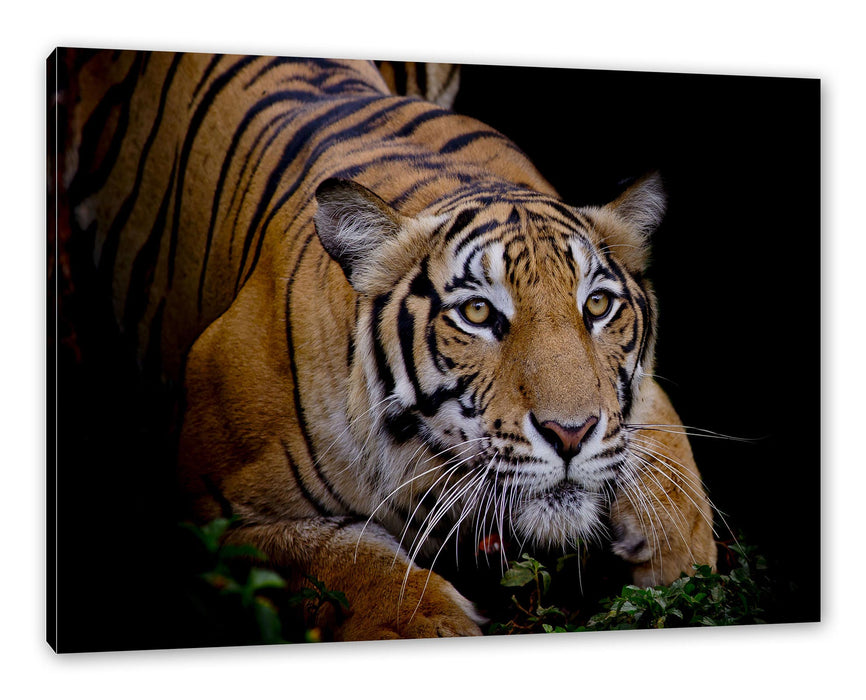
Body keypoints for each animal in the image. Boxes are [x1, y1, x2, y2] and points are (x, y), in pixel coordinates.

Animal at [58, 50, 717, 642]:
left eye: (597, 306)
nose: (571, 434)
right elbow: (350, 563)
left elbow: (667, 452)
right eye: (478, 313)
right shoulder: (217, 519)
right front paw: (429, 624)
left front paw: (682, 559)